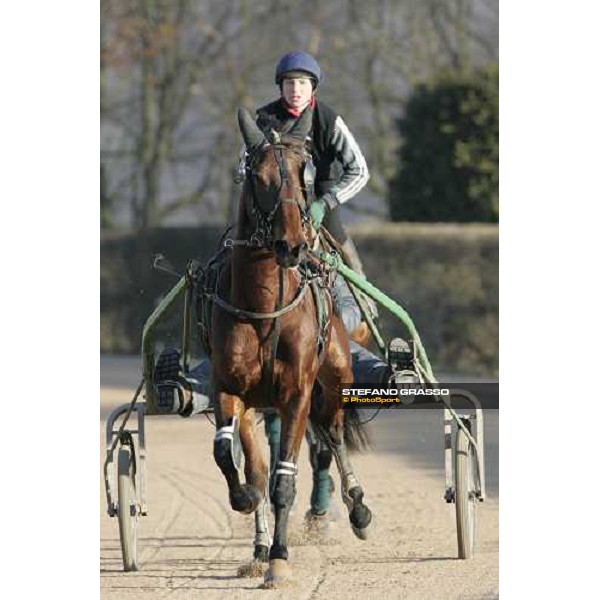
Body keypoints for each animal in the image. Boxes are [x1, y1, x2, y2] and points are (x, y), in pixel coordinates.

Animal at [209, 108, 372, 584]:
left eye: (306, 172)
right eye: (259, 176)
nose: (292, 244)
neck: (264, 307)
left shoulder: (297, 393)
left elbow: (285, 479)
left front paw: (280, 560)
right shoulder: (228, 388)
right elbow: (231, 457)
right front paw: (246, 502)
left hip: (333, 380)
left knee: (332, 435)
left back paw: (356, 508)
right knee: (261, 462)